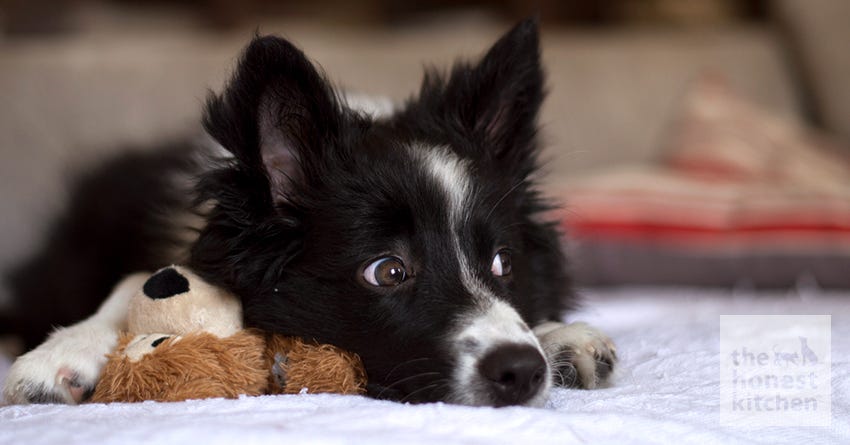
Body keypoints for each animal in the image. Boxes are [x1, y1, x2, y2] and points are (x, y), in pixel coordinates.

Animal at [0, 18, 608, 406]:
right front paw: (64, 354)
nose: (522, 371)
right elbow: (139, 280)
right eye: (388, 270)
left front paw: (562, 337)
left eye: (503, 262)